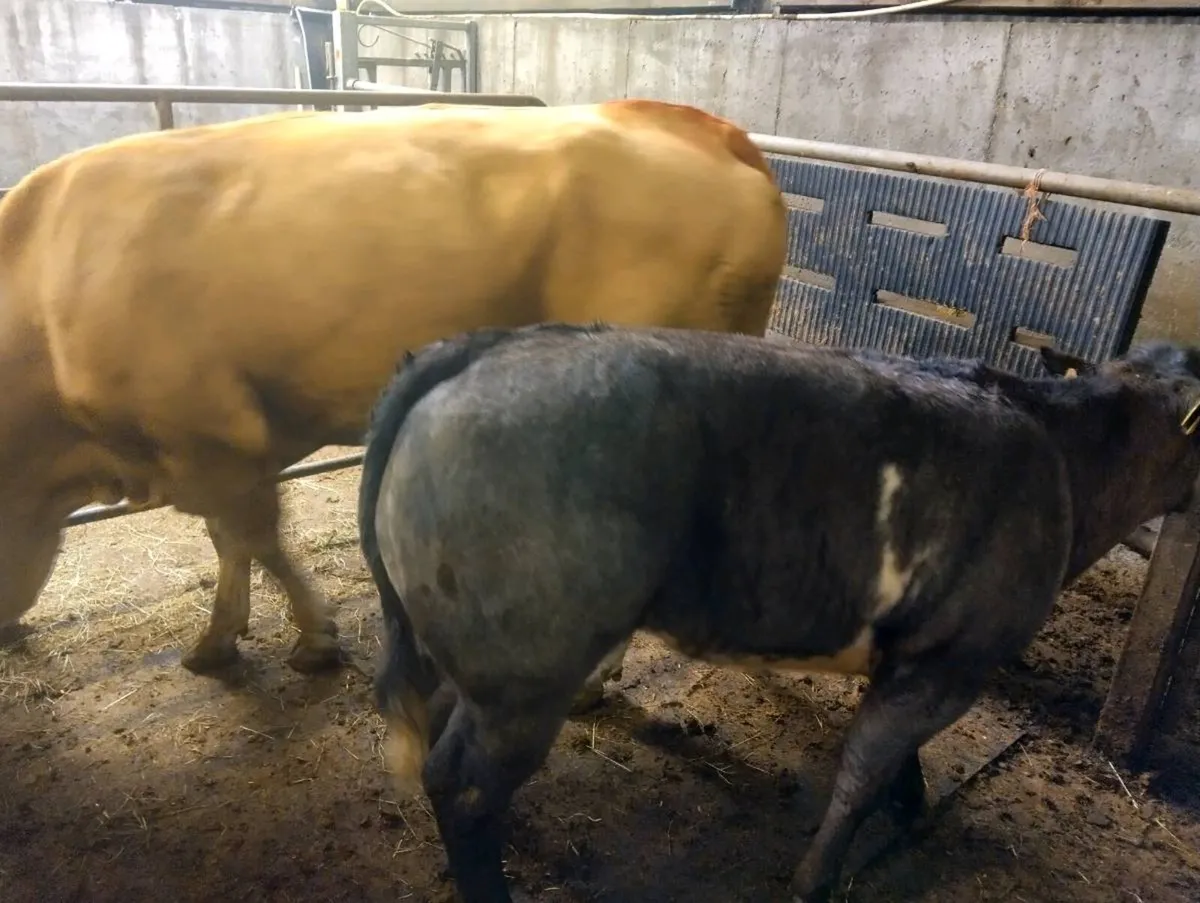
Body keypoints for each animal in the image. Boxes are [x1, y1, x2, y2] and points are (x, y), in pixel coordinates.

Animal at [0, 99, 786, 693]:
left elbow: (255, 537)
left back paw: (594, 678)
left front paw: (309, 639)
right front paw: (225, 637)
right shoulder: (207, 451)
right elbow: (233, 542)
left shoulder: (210, 437)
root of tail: (701, 126)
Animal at [358, 322, 1200, 903]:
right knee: (463, 784)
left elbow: (894, 756)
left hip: (469, 651)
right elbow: (862, 768)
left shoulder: (907, 654)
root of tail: (481, 345)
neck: (1064, 460)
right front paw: (819, 876)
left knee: (441, 726)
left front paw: (912, 799)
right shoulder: (952, 658)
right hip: (526, 675)